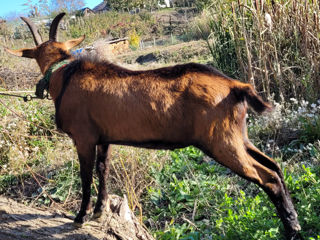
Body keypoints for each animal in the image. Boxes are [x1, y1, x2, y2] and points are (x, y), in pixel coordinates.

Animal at [4, 13, 300, 240]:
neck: (64, 74)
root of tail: (236, 86)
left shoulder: (83, 137)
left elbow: (86, 176)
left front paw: (80, 216)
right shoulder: (104, 137)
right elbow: (103, 170)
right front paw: (99, 210)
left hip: (221, 142)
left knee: (267, 176)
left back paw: (292, 228)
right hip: (239, 137)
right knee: (274, 166)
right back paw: (293, 218)